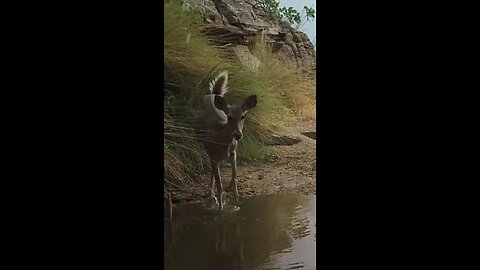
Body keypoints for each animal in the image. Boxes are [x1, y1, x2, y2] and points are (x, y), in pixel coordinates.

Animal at [194, 70, 256, 210]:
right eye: (229, 117)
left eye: (243, 116)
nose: (238, 135)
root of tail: (213, 95)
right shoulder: (213, 154)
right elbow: (219, 185)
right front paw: (221, 208)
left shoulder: (233, 153)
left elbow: (235, 174)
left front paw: (236, 201)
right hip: (205, 146)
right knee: (212, 172)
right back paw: (211, 196)